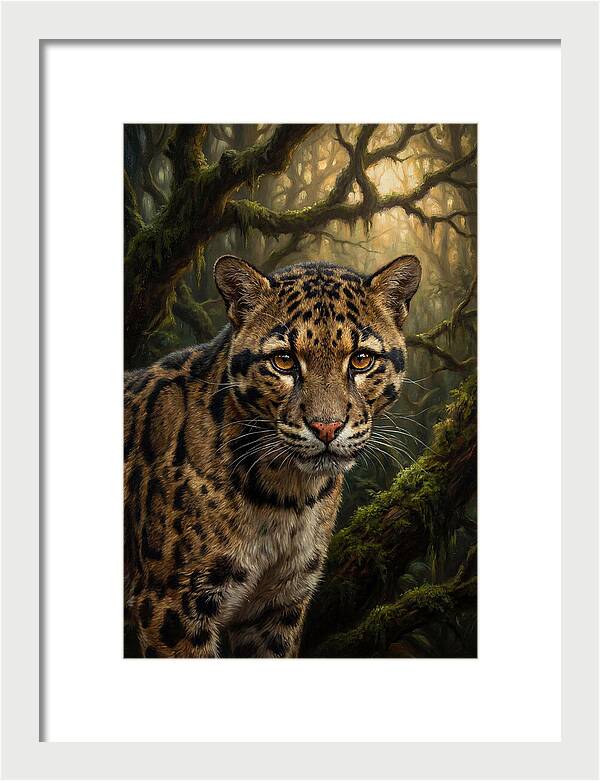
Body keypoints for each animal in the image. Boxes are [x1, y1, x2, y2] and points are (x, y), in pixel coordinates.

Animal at [124, 254, 421, 657]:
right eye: (283, 361)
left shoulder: (279, 604)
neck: (286, 495)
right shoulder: (171, 603)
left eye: (361, 360)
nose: (326, 427)